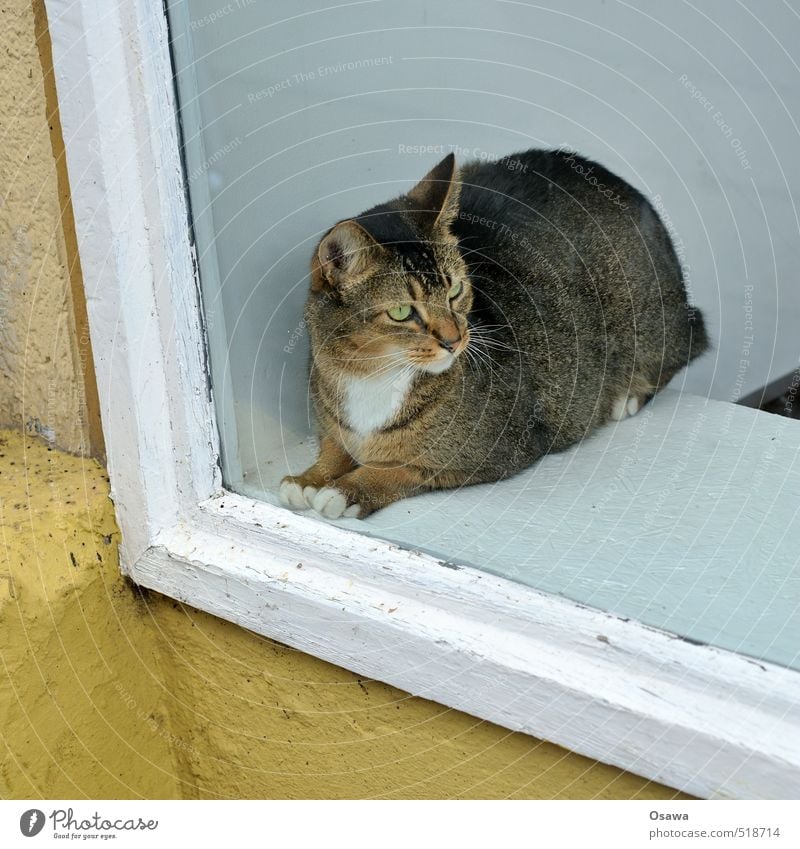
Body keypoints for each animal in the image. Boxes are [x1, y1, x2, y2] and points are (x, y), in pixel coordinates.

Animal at [280, 150, 708, 516]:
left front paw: (348, 489)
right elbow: (334, 446)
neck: (374, 377)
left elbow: (401, 468)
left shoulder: (494, 452)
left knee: (688, 342)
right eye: (402, 312)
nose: (454, 340)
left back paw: (627, 396)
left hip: (650, 320)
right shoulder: (332, 418)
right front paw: (309, 478)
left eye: (455, 290)